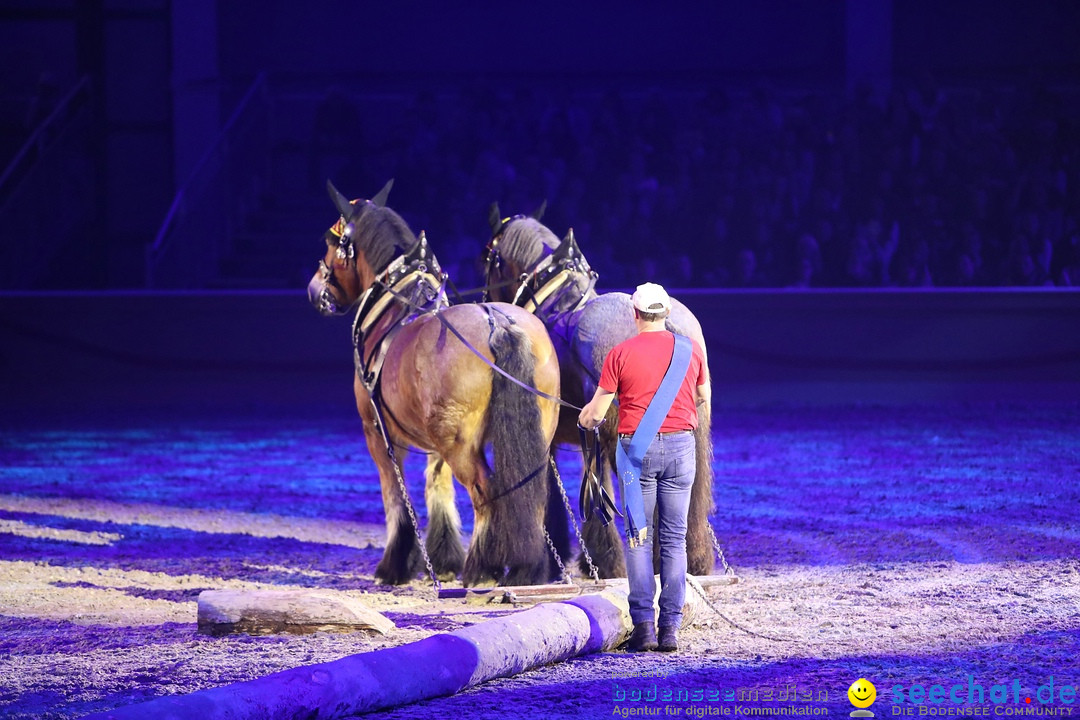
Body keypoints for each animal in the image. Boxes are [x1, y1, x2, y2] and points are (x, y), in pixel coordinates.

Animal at [308, 180, 570, 587]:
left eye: (332, 243)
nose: (315, 288)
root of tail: (499, 323)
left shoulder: (377, 434)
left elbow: (395, 497)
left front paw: (394, 565)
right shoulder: (434, 441)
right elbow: (437, 484)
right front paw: (444, 558)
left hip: (460, 444)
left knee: (485, 492)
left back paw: (482, 568)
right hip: (532, 431)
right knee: (531, 492)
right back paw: (527, 568)